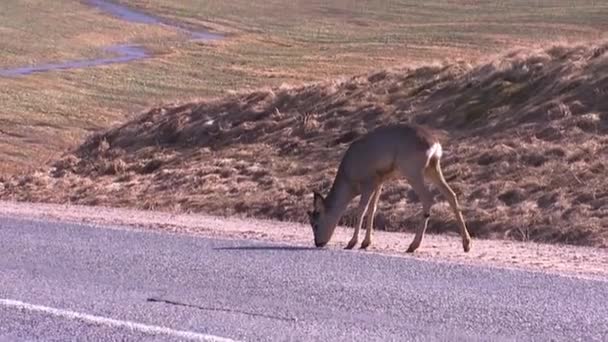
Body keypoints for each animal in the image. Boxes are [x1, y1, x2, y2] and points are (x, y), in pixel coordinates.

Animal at [306, 121, 472, 252]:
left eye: (315, 224)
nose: (318, 243)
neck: (349, 180)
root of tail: (435, 144)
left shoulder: (369, 181)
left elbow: (361, 210)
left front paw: (352, 242)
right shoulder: (379, 181)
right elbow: (372, 209)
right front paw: (366, 243)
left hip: (412, 169)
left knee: (428, 198)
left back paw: (413, 245)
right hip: (432, 167)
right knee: (451, 194)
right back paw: (466, 244)